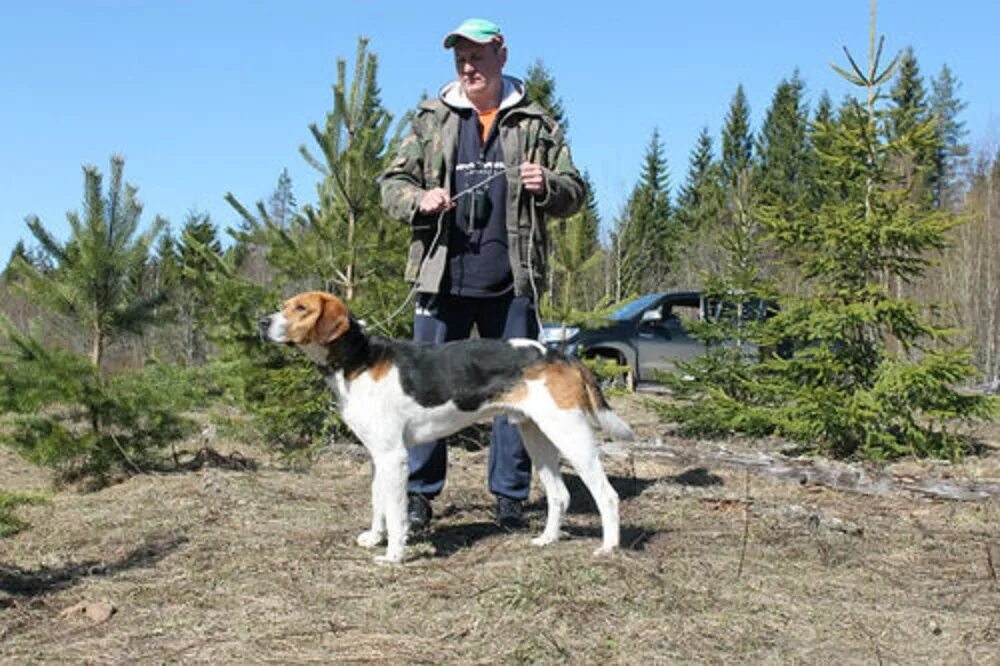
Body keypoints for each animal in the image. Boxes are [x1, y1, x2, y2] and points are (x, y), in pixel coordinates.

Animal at [258, 290, 632, 560]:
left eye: (301, 308)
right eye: (284, 305)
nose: (261, 321)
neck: (358, 360)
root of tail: (559, 354)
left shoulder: (394, 457)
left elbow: (395, 510)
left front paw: (393, 554)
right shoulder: (378, 456)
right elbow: (378, 501)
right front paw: (375, 538)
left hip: (572, 437)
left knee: (608, 495)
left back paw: (608, 547)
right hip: (537, 437)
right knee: (560, 495)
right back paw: (547, 539)